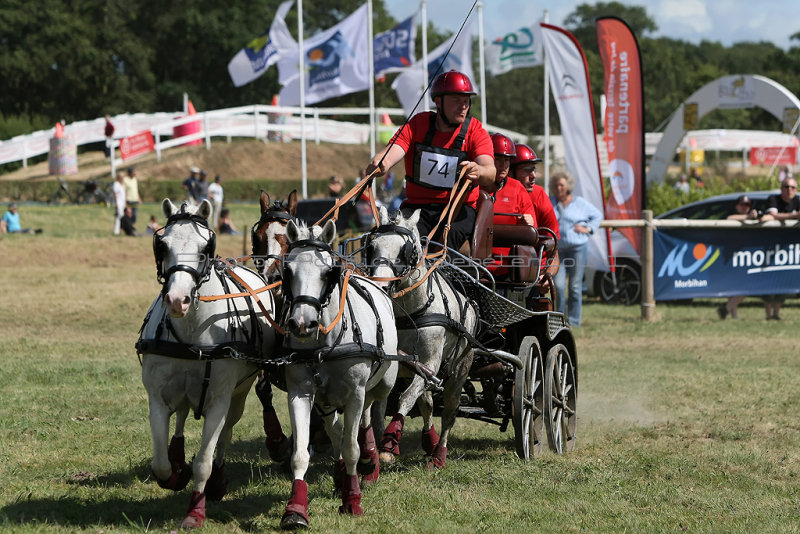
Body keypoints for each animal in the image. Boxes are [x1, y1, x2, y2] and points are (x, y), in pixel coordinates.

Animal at [138, 200, 276, 532]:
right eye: (162, 245)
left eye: (205, 248)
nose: (177, 300)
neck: (192, 330)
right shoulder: (156, 397)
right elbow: (160, 463)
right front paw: (175, 474)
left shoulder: (219, 400)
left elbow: (204, 460)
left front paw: (196, 510)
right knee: (182, 415)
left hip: (239, 393)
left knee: (226, 432)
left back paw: (218, 480)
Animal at [278, 219, 396, 532]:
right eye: (287, 271)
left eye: (327, 272)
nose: (302, 324)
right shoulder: (301, 393)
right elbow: (301, 454)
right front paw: (295, 509)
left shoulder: (355, 394)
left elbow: (353, 447)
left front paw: (352, 500)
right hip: (325, 400)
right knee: (336, 429)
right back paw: (341, 471)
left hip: (382, 383)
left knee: (371, 413)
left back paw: (370, 460)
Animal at [364, 207, 482, 472]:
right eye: (371, 246)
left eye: (407, 250)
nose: (381, 287)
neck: (409, 313)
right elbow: (379, 406)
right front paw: (380, 444)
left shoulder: (431, 363)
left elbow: (405, 398)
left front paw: (389, 445)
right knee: (427, 403)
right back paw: (430, 442)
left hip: (458, 371)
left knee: (449, 412)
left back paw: (439, 455)